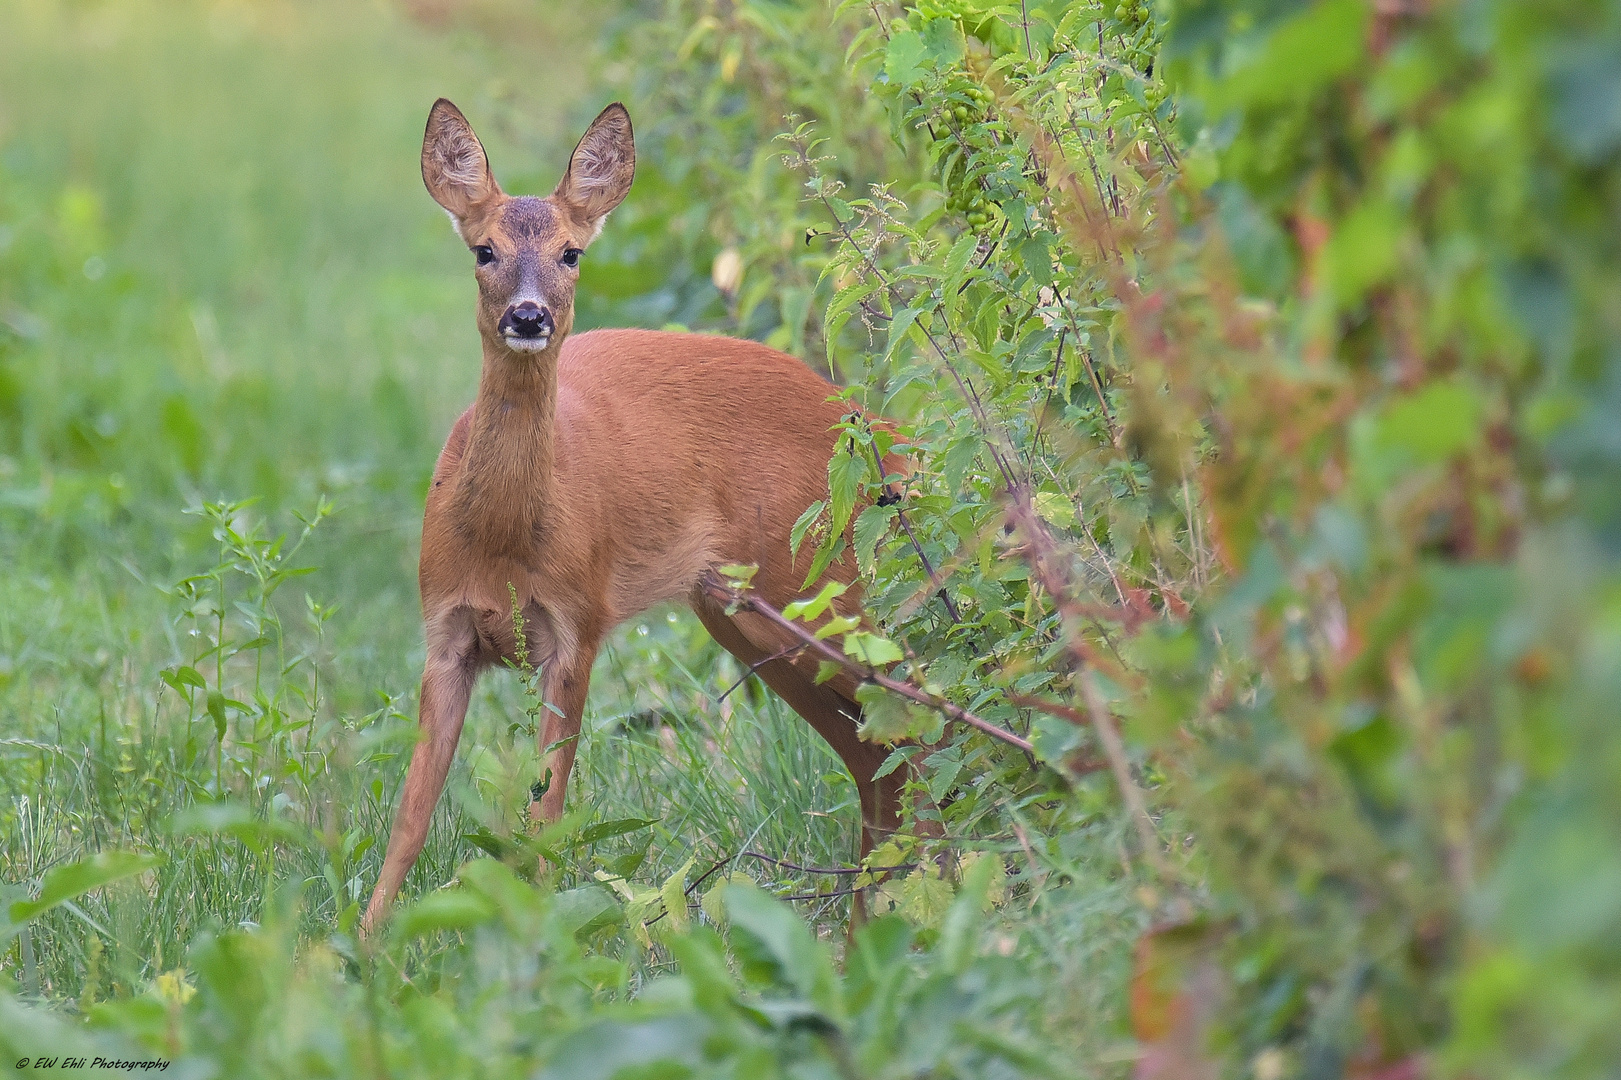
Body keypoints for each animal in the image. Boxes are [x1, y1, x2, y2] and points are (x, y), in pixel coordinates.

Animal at [359, 96, 907, 927]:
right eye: (483, 250)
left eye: (572, 253)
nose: (527, 317)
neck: (503, 547)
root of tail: (872, 431)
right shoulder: (444, 631)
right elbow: (410, 818)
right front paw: (360, 942)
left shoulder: (578, 624)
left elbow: (546, 817)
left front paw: (538, 932)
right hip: (748, 616)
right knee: (877, 756)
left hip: (821, 585)